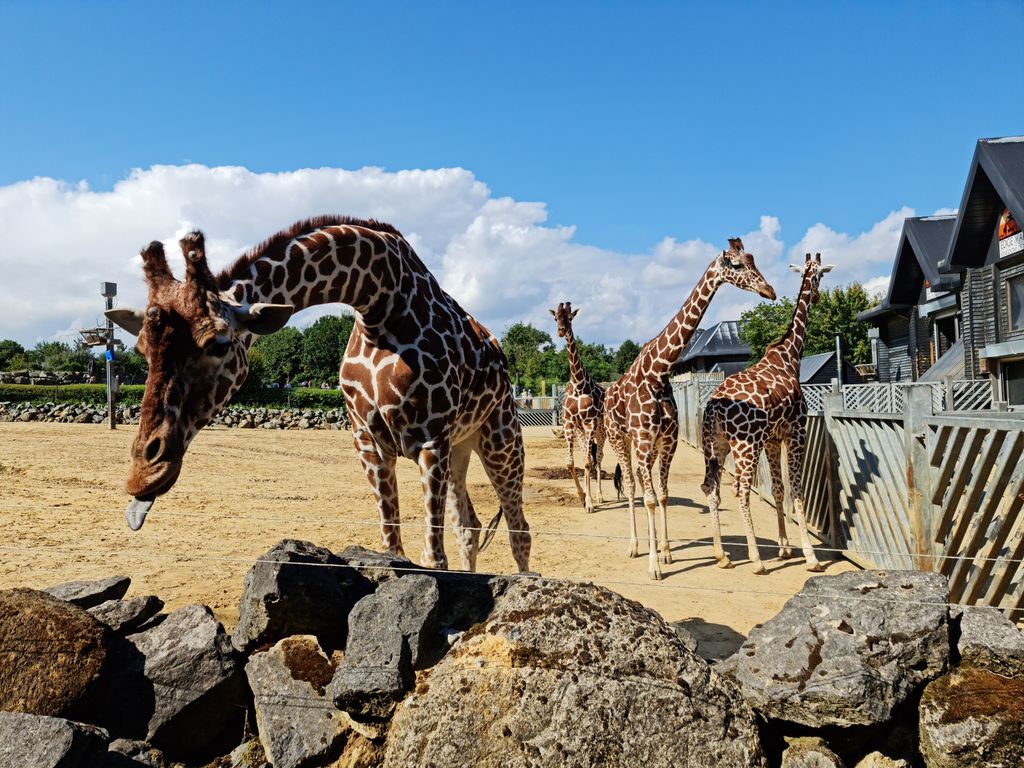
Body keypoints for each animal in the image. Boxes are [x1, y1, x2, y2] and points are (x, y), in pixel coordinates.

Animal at [107, 217, 532, 573]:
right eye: (142, 350)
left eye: (218, 344)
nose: (142, 475)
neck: (380, 303)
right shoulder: (368, 442)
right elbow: (393, 549)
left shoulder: (430, 439)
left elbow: (433, 559)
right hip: (462, 444)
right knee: (469, 526)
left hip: (501, 437)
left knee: (519, 529)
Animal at [548, 303, 602, 514]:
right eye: (556, 318)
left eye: (570, 317)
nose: (561, 331)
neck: (579, 385)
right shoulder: (570, 424)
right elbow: (571, 463)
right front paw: (581, 497)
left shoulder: (590, 423)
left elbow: (587, 463)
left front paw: (590, 503)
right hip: (581, 431)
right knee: (587, 456)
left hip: (601, 431)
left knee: (598, 459)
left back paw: (599, 496)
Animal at [598, 237, 774, 581]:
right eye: (736, 265)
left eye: (753, 259)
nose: (769, 290)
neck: (659, 370)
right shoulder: (642, 438)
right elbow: (650, 499)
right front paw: (654, 566)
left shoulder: (667, 441)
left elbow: (663, 495)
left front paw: (665, 553)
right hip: (619, 438)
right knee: (630, 486)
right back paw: (634, 546)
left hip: (648, 446)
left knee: (642, 483)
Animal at [700, 256, 835, 573]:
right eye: (821, 276)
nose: (818, 297)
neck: (790, 355)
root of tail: (713, 408)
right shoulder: (796, 432)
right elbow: (796, 490)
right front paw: (810, 556)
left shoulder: (773, 439)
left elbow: (778, 489)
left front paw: (785, 548)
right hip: (745, 446)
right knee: (740, 489)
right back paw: (756, 559)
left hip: (716, 446)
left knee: (711, 487)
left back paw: (721, 555)